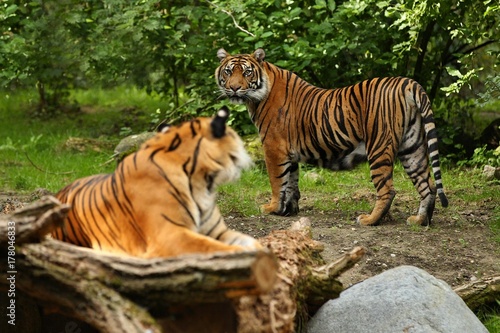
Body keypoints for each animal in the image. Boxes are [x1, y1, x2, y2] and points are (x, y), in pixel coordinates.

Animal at [216, 47, 450, 226]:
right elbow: (291, 181)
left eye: (247, 73)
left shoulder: (274, 147)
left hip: (379, 146)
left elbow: (277, 180)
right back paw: (420, 221)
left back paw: (369, 220)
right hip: (412, 146)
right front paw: (288, 209)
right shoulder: (289, 152)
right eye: (228, 72)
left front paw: (272, 207)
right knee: (427, 185)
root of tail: (407, 83)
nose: (234, 88)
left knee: (388, 190)